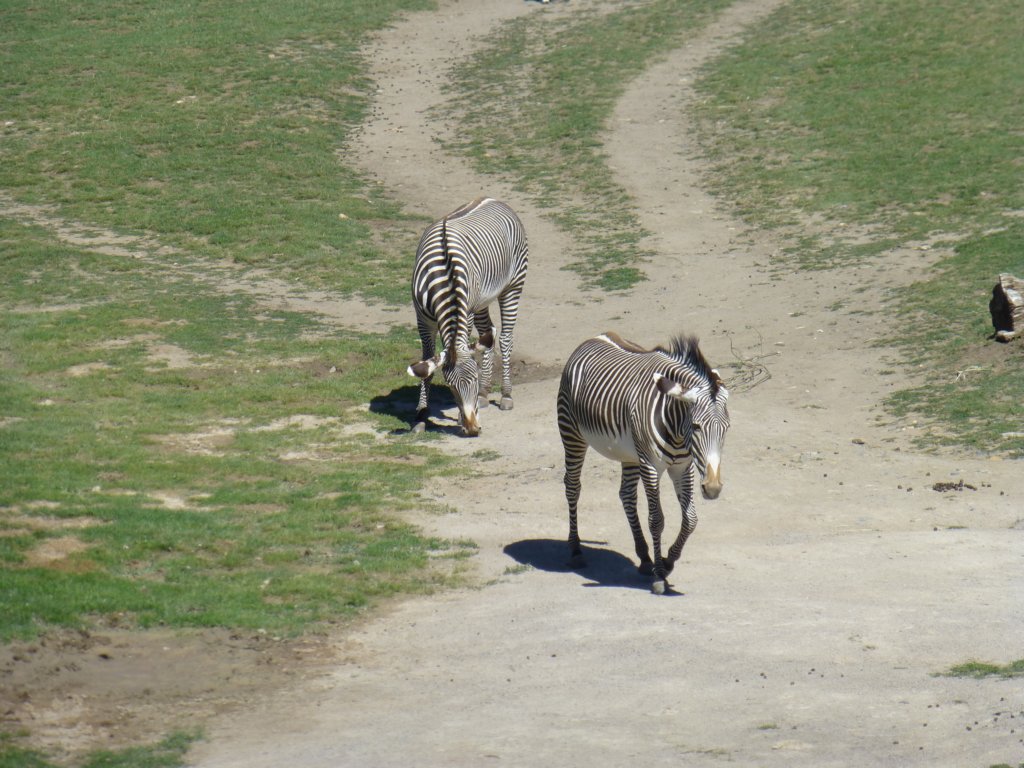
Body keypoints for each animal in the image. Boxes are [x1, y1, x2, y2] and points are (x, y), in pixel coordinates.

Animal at [403, 198, 528, 436]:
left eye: (474, 380)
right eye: (451, 387)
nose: (472, 429)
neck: (444, 278)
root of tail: (494, 200)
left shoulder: (465, 314)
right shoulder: (423, 320)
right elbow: (427, 365)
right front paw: (421, 416)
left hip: (513, 286)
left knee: (505, 339)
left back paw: (506, 394)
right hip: (481, 301)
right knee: (489, 333)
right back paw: (486, 393)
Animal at [557, 331, 733, 593]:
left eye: (726, 428)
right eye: (696, 426)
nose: (712, 489)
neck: (678, 430)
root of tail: (596, 337)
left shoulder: (682, 467)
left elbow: (690, 519)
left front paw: (668, 561)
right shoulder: (651, 465)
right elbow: (657, 520)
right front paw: (660, 575)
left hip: (630, 453)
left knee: (627, 495)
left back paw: (644, 557)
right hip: (572, 433)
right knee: (572, 487)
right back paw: (576, 550)